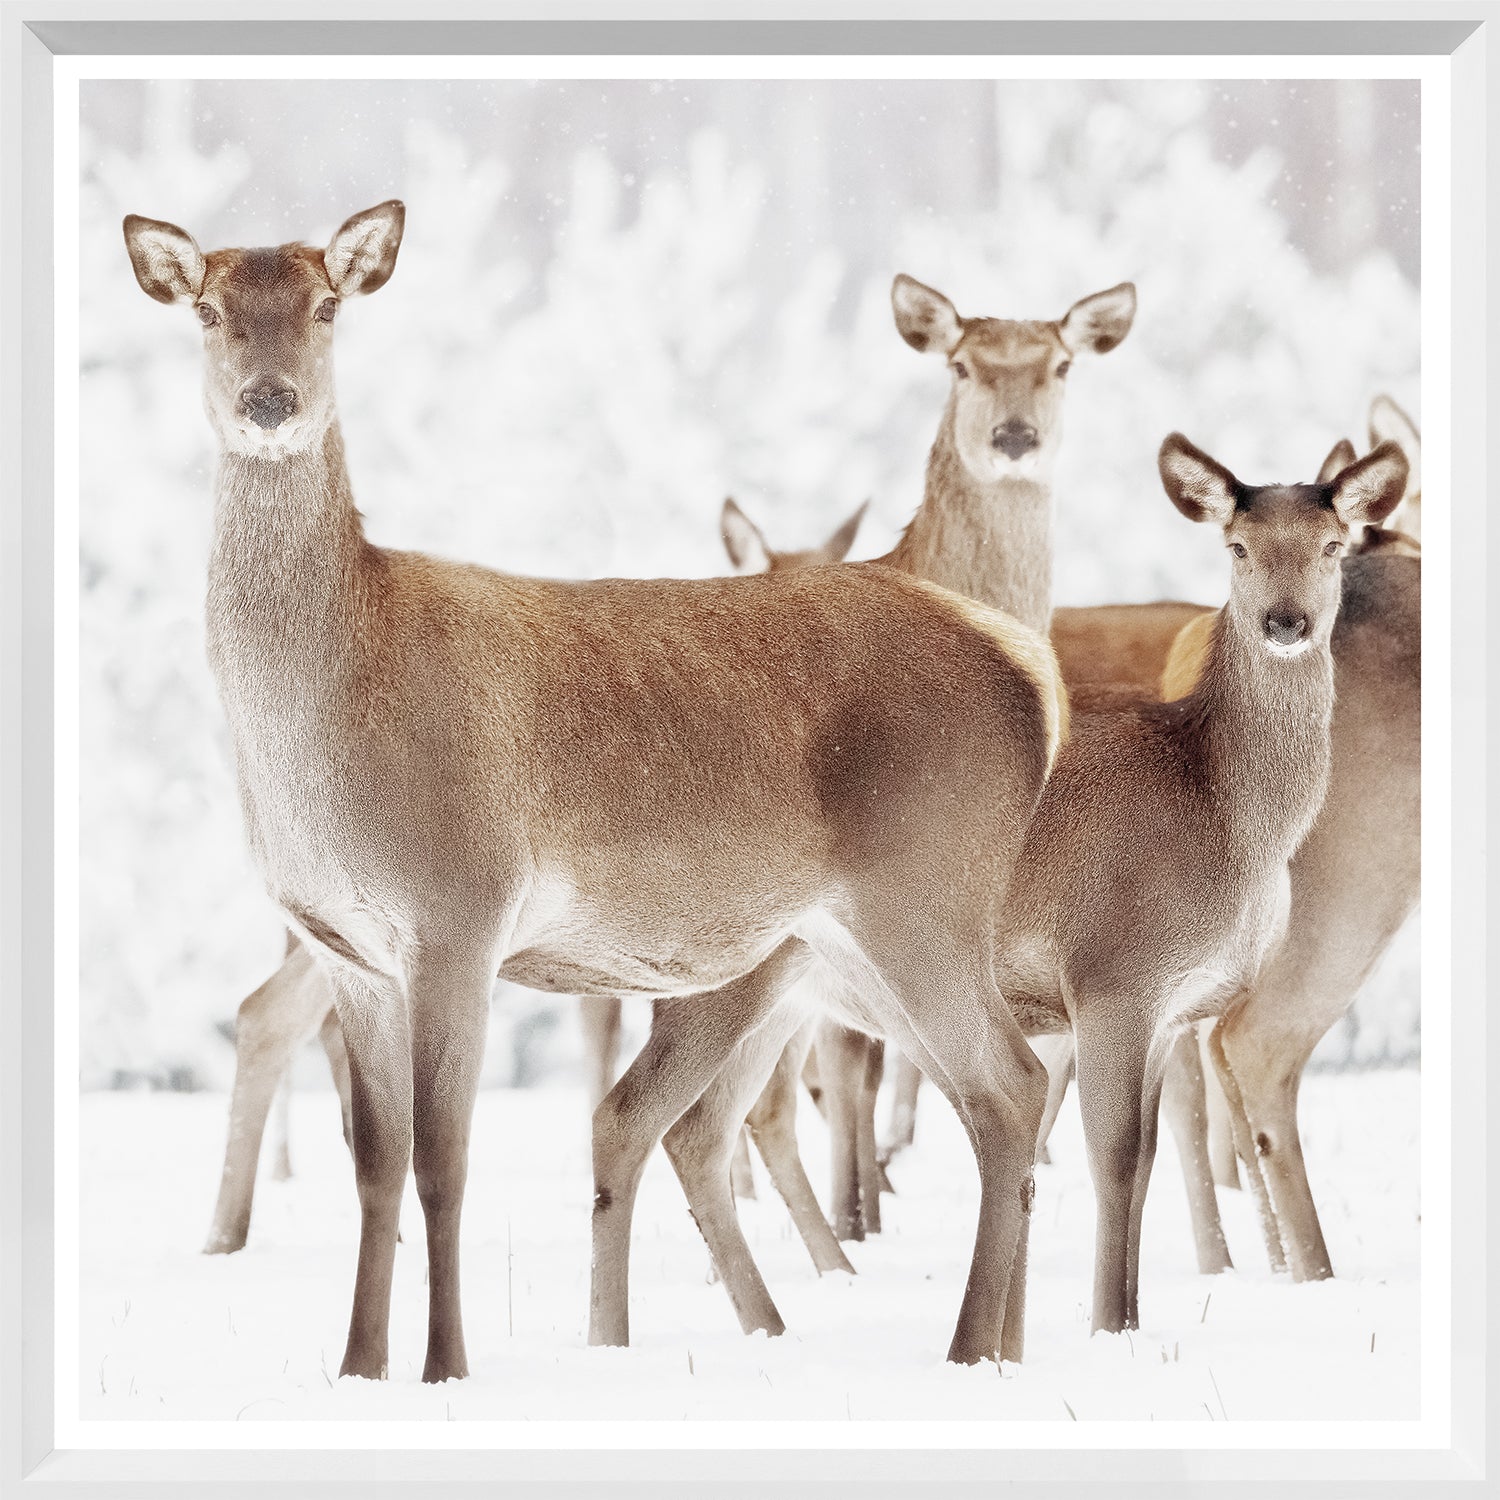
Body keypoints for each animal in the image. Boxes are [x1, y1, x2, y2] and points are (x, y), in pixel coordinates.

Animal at [124, 202, 1069, 1379]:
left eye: (328, 304)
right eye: (208, 309)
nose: (270, 400)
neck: (324, 732)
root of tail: (1029, 672)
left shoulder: (458, 912)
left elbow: (444, 1161)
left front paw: (447, 1367)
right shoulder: (350, 948)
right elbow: (374, 1169)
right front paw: (356, 1368)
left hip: (924, 896)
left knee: (1008, 1087)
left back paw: (967, 1352)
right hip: (838, 942)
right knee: (989, 1093)